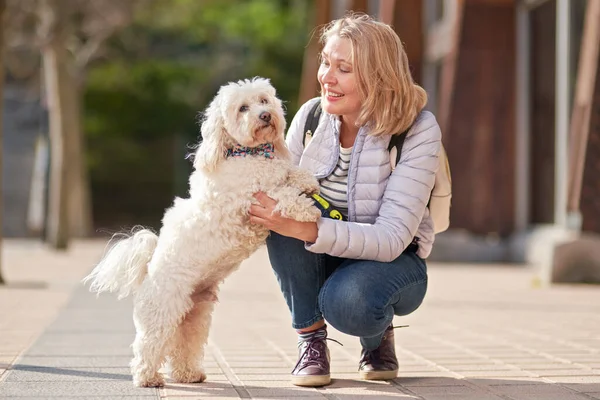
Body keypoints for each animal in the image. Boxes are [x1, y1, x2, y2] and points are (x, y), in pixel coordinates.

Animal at [83, 76, 324, 386]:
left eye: (264, 100)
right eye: (243, 108)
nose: (265, 115)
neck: (249, 154)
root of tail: (149, 268)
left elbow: (290, 174)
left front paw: (307, 181)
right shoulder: (252, 199)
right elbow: (282, 193)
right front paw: (307, 209)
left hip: (195, 315)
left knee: (185, 344)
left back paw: (189, 374)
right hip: (162, 312)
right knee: (147, 345)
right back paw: (147, 377)